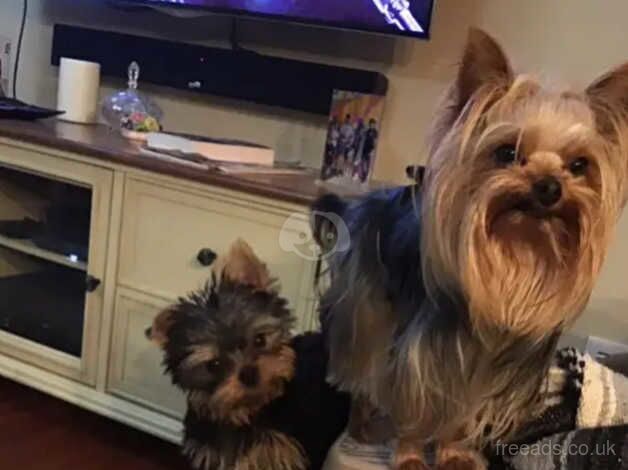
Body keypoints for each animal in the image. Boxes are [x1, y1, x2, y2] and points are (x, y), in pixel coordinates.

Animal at [316, 30, 628, 470]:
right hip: (365, 309)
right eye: (507, 152)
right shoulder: (421, 358)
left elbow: (460, 416)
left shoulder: (482, 372)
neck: (516, 255)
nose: (549, 186)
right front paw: (410, 454)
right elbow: (412, 403)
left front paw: (452, 453)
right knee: (361, 366)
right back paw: (362, 423)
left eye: (580, 165)